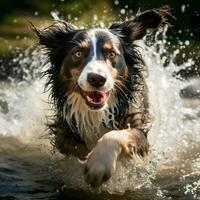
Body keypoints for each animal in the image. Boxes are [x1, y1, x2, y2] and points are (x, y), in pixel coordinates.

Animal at [31, 6, 170, 188]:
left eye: (111, 54)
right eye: (78, 53)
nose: (97, 79)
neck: (96, 112)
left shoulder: (138, 127)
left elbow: (117, 135)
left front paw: (99, 164)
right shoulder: (63, 129)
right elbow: (77, 148)